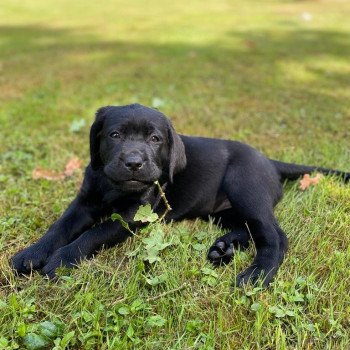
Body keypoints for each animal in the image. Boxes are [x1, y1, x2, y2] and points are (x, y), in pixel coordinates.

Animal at [11, 104, 350, 288]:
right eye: (114, 135)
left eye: (155, 139)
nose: (133, 163)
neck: (114, 186)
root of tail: (269, 161)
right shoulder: (84, 202)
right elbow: (61, 226)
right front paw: (33, 253)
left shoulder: (133, 216)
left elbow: (92, 235)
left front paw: (61, 259)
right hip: (222, 210)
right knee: (247, 228)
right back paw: (223, 248)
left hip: (245, 187)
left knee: (275, 235)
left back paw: (257, 274)